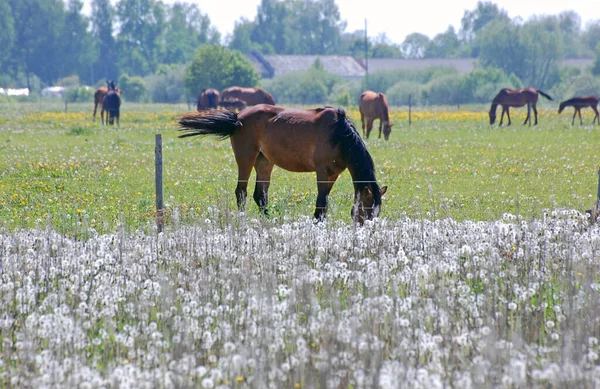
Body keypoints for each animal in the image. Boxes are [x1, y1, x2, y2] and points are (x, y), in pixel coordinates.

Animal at [177, 104, 390, 223]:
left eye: (377, 213)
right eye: (367, 210)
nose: (364, 231)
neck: (338, 135)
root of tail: (238, 118)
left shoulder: (333, 174)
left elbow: (325, 202)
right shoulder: (322, 172)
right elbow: (321, 203)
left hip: (264, 162)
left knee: (260, 195)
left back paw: (268, 220)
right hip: (246, 158)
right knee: (241, 192)